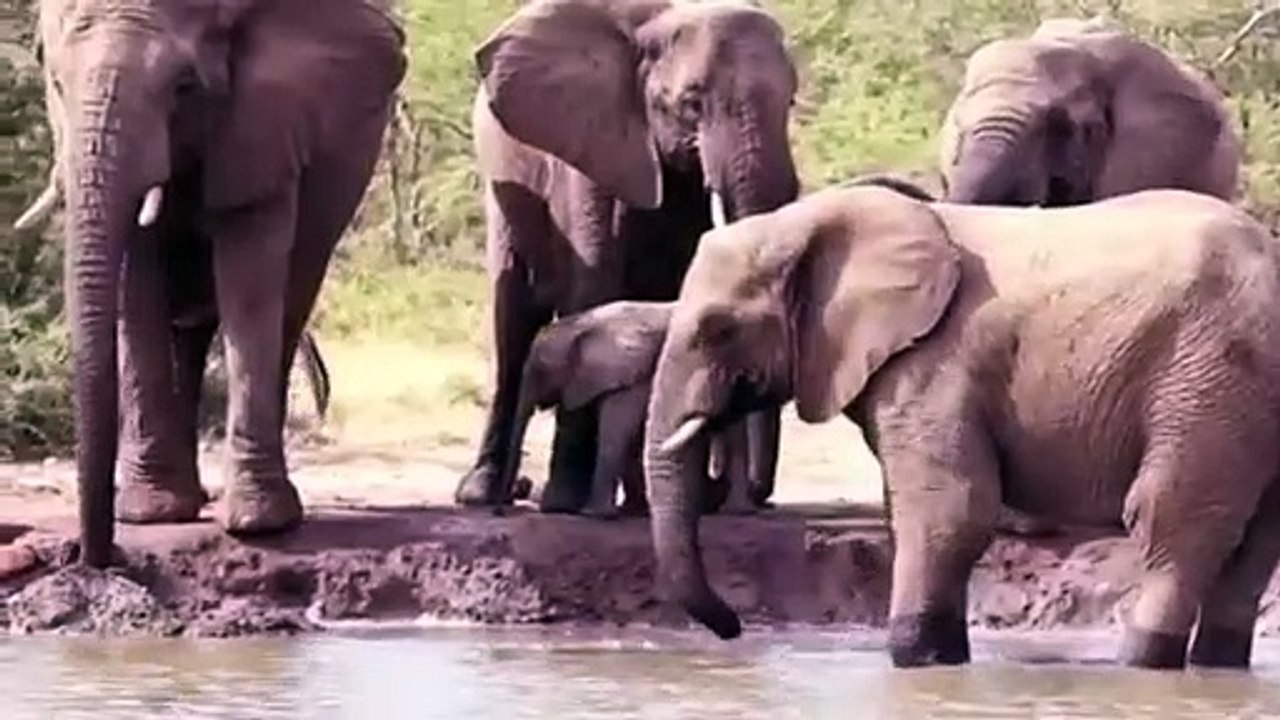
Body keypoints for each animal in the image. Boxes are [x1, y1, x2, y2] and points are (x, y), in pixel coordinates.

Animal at [31, 0, 406, 567]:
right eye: (55, 82)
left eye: (184, 86)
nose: (95, 556)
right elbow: (137, 286)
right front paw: (152, 514)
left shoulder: (265, 129)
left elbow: (248, 282)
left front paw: (258, 525)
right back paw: (189, 498)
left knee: (290, 302)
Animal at [502, 299, 752, 519]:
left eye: (539, 370)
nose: (502, 507)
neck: (583, 324)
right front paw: (633, 511)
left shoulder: (632, 376)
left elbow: (618, 429)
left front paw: (595, 515)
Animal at [643, 183, 1280, 672]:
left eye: (718, 328)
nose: (733, 630)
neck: (806, 221)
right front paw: (942, 662)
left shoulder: (938, 362)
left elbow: (950, 508)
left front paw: (912, 661)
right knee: (1254, 547)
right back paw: (1215, 670)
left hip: (1206, 379)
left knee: (1169, 522)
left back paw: (1142, 665)